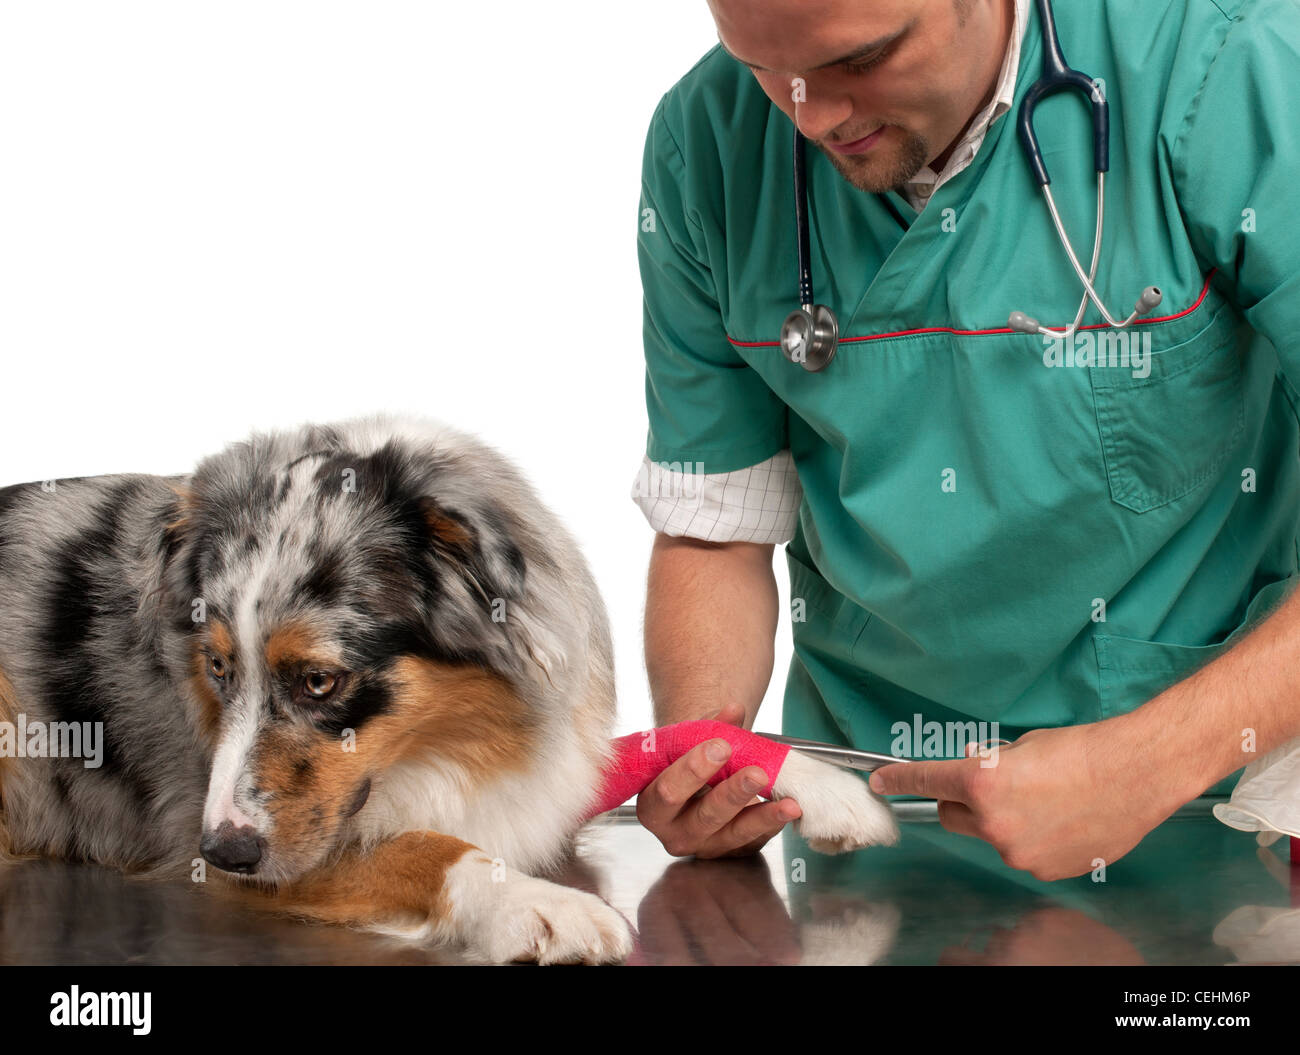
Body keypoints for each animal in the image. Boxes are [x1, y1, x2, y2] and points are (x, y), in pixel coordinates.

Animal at [0, 415, 894, 961]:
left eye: (319, 679)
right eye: (217, 668)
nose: (226, 848)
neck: (442, 746)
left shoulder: (556, 759)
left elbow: (680, 737)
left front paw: (826, 784)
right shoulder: (232, 837)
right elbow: (422, 846)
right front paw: (539, 903)